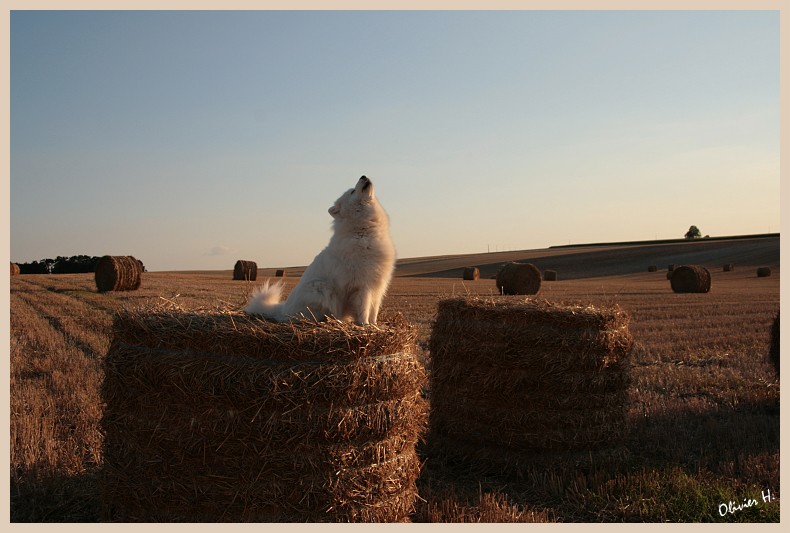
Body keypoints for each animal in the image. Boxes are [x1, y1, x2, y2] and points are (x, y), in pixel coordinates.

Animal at [244, 175, 396, 324]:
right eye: (352, 191)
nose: (363, 175)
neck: (362, 231)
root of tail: (283, 309)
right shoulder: (362, 286)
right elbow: (363, 310)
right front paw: (364, 325)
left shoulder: (378, 286)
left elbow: (373, 311)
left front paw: (375, 326)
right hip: (322, 288)